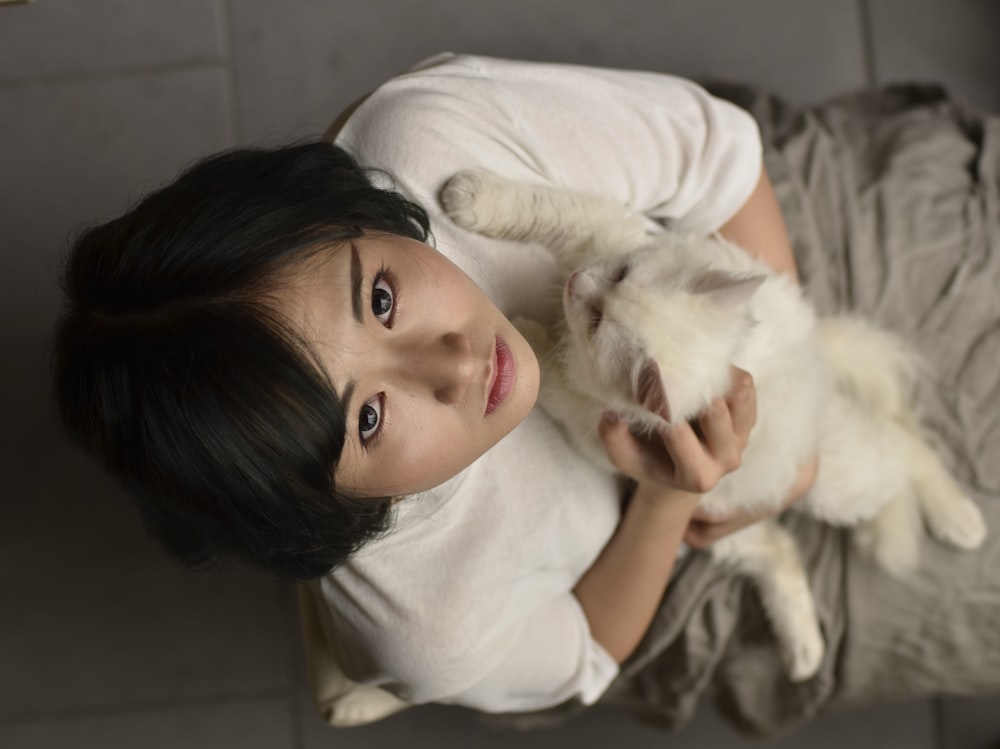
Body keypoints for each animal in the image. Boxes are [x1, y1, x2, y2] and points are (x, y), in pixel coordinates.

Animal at [444, 171, 984, 684]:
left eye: (597, 323)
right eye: (618, 274)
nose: (577, 281)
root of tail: (821, 368)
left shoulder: (591, 416)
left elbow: (542, 371)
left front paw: (519, 345)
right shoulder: (603, 229)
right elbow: (542, 205)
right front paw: (469, 197)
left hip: (834, 483)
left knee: (907, 447)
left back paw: (961, 523)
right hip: (721, 524)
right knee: (783, 552)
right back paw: (805, 655)